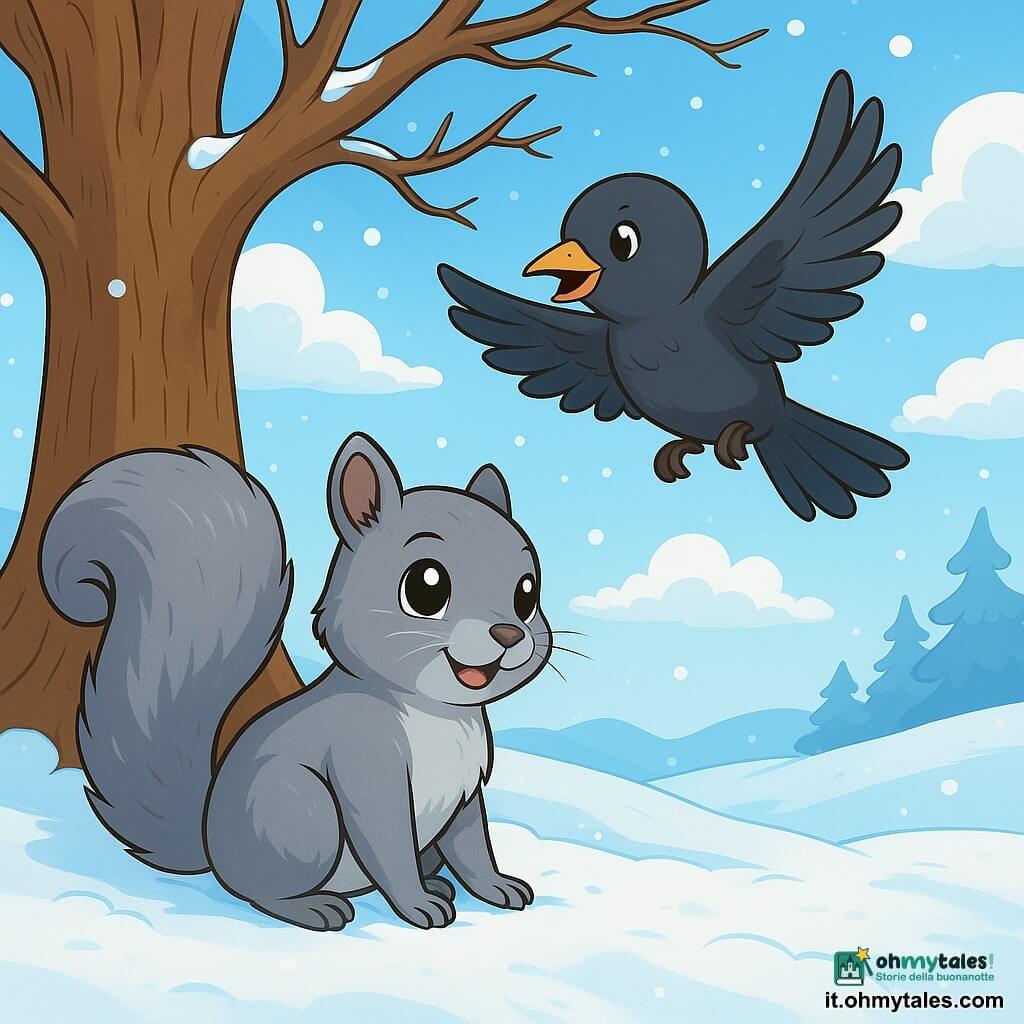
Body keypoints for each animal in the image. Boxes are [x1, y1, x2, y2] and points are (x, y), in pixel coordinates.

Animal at [41, 432, 552, 931]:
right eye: (426, 587)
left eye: (527, 593)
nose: (509, 635)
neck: (435, 712)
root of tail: (210, 842)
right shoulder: (366, 764)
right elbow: (390, 848)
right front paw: (416, 906)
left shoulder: (466, 788)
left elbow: (472, 845)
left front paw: (496, 886)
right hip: (302, 812)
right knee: (259, 891)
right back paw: (316, 907)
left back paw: (435, 883)